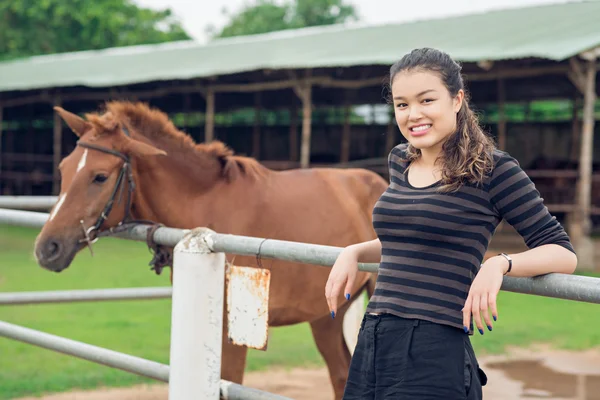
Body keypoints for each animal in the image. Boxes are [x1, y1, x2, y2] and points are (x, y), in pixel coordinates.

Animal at [34, 101, 390, 400]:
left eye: (100, 176)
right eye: (64, 169)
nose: (46, 248)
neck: (206, 207)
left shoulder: (232, 334)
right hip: (325, 316)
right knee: (340, 374)